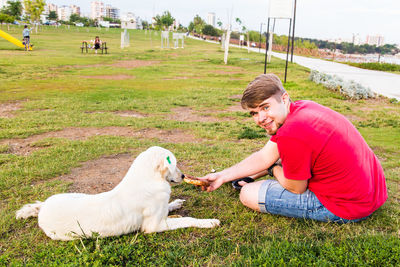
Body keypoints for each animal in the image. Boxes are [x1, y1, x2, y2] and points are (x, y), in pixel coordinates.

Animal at [15, 147, 220, 241]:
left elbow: (169, 207)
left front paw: (176, 203)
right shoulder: (152, 227)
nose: (183, 176)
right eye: (175, 164)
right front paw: (209, 222)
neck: (148, 180)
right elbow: (187, 219)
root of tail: (43, 207)